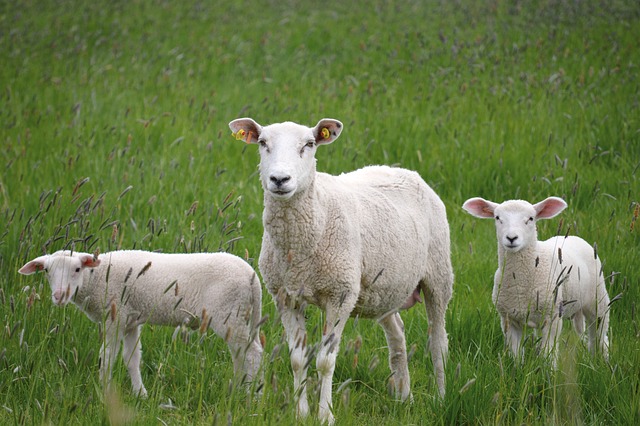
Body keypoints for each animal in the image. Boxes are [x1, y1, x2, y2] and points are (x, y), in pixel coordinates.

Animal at [18, 250, 262, 396]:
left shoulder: (115, 318)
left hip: (228, 314)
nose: (59, 296)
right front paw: (140, 394)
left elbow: (107, 357)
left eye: (77, 269)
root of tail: (252, 276)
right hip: (241, 316)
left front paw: (105, 392)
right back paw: (238, 389)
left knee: (252, 354)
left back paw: (252, 395)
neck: (97, 279)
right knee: (241, 354)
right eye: (47, 271)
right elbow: (131, 358)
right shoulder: (130, 321)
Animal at [228, 118, 452, 424]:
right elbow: (297, 359)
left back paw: (441, 398)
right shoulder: (286, 296)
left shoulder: (340, 295)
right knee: (397, 335)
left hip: (439, 275)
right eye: (263, 143)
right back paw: (405, 397)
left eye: (309, 144)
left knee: (438, 341)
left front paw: (325, 415)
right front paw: (300, 413)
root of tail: (404, 170)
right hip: (385, 290)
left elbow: (325, 361)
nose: (279, 180)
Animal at [460, 198, 608, 364]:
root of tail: (574, 237)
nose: (511, 238)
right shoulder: (509, 320)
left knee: (600, 335)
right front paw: (517, 368)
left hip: (598, 300)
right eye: (497, 218)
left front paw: (549, 369)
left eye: (531, 218)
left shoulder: (552, 318)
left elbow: (548, 353)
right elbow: (516, 354)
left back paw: (602, 359)